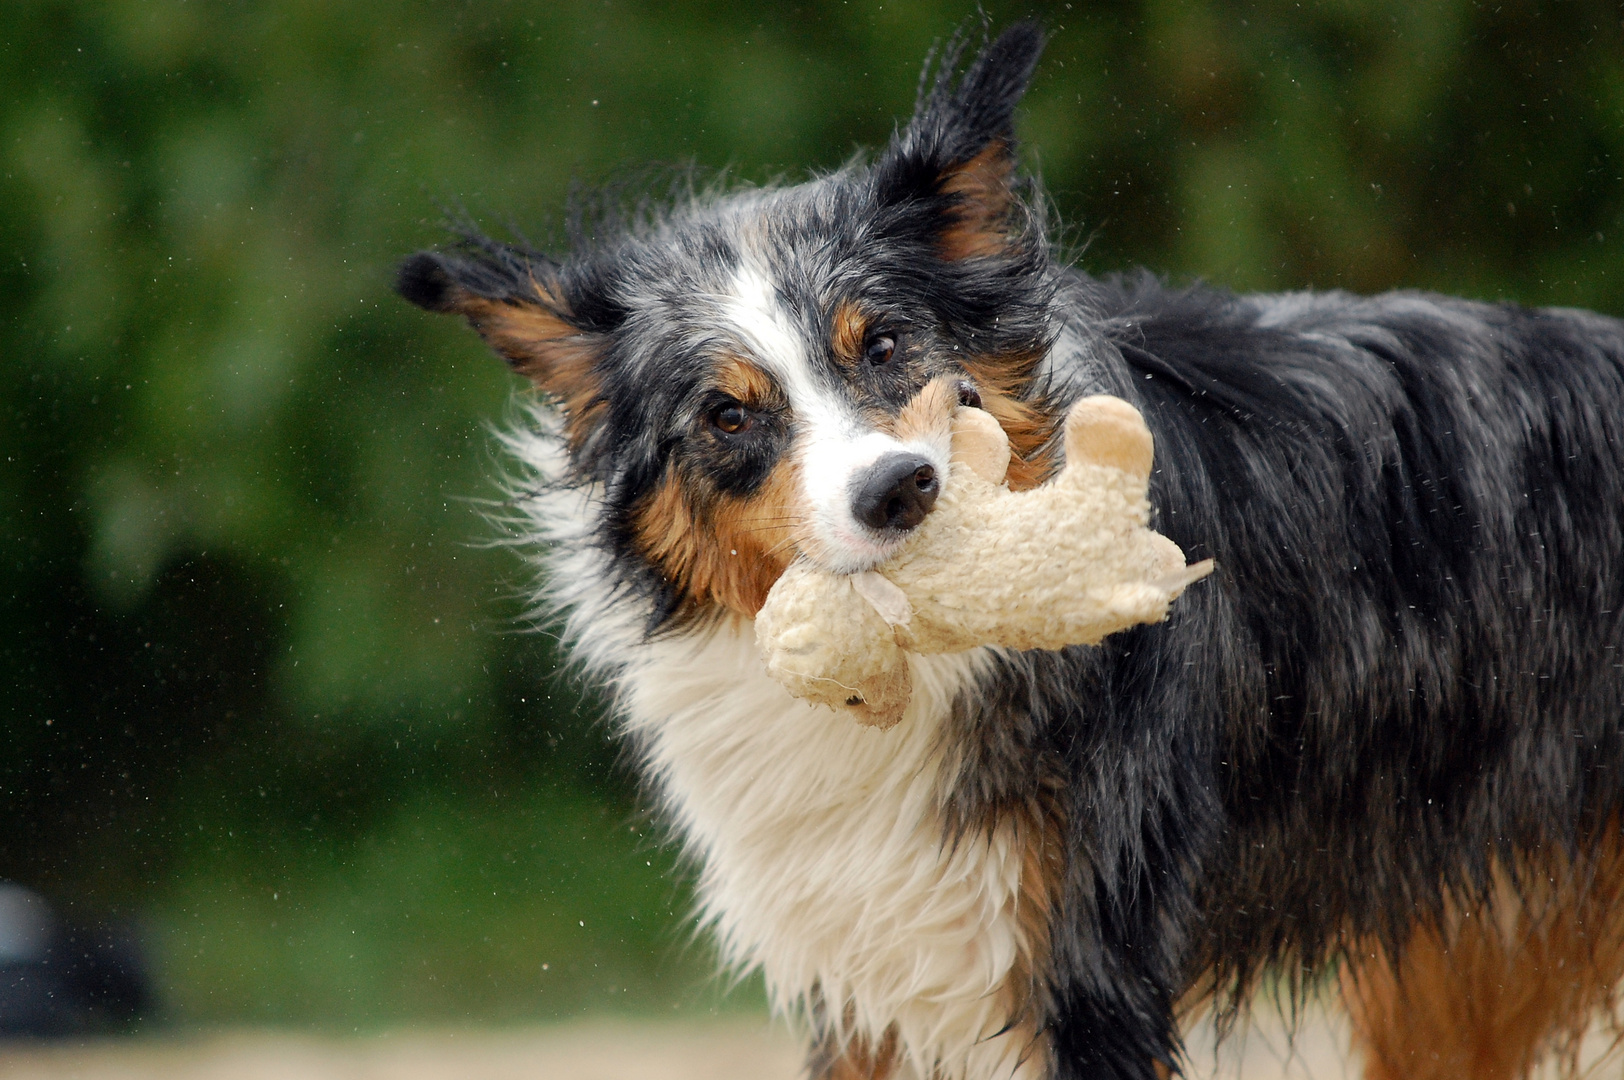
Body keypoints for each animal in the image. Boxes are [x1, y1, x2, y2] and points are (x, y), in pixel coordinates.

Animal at [399, 25, 1624, 1078]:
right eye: (728, 416)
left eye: (887, 343)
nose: (899, 493)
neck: (923, 672)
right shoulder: (870, 984)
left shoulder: (1089, 966)